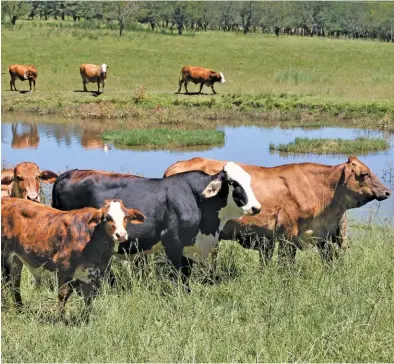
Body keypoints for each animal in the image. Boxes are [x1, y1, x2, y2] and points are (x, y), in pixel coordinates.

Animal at [1, 198, 146, 314]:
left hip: (17, 259)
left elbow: (89, 298)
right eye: (107, 217)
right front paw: (59, 319)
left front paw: (86, 318)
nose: (121, 235)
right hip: (5, 256)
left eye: (126, 217)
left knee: (15, 284)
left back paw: (19, 308)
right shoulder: (64, 269)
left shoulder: (92, 275)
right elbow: (63, 295)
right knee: (5, 282)